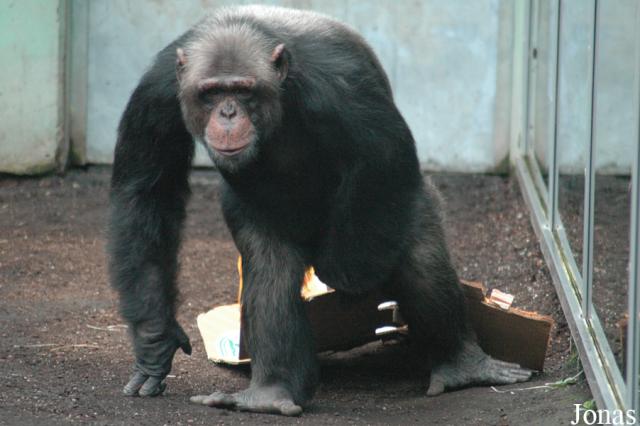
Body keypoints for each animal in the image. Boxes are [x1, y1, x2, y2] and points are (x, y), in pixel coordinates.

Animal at [107, 3, 532, 416]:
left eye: (243, 91)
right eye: (211, 92)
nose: (227, 113)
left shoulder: (339, 82)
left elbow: (382, 150)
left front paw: (347, 275)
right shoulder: (158, 91)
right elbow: (147, 191)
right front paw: (155, 340)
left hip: (402, 206)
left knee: (420, 256)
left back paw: (463, 364)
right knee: (271, 271)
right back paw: (270, 393)